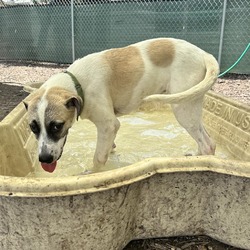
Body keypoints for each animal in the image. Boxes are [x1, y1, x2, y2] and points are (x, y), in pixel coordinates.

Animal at [23, 38, 219, 173]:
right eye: (33, 127)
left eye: (57, 126)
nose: (44, 159)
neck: (77, 82)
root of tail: (203, 53)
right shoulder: (109, 128)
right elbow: (109, 148)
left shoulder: (108, 125)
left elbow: (98, 158)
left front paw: (93, 174)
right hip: (192, 106)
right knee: (208, 141)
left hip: (182, 108)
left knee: (207, 145)